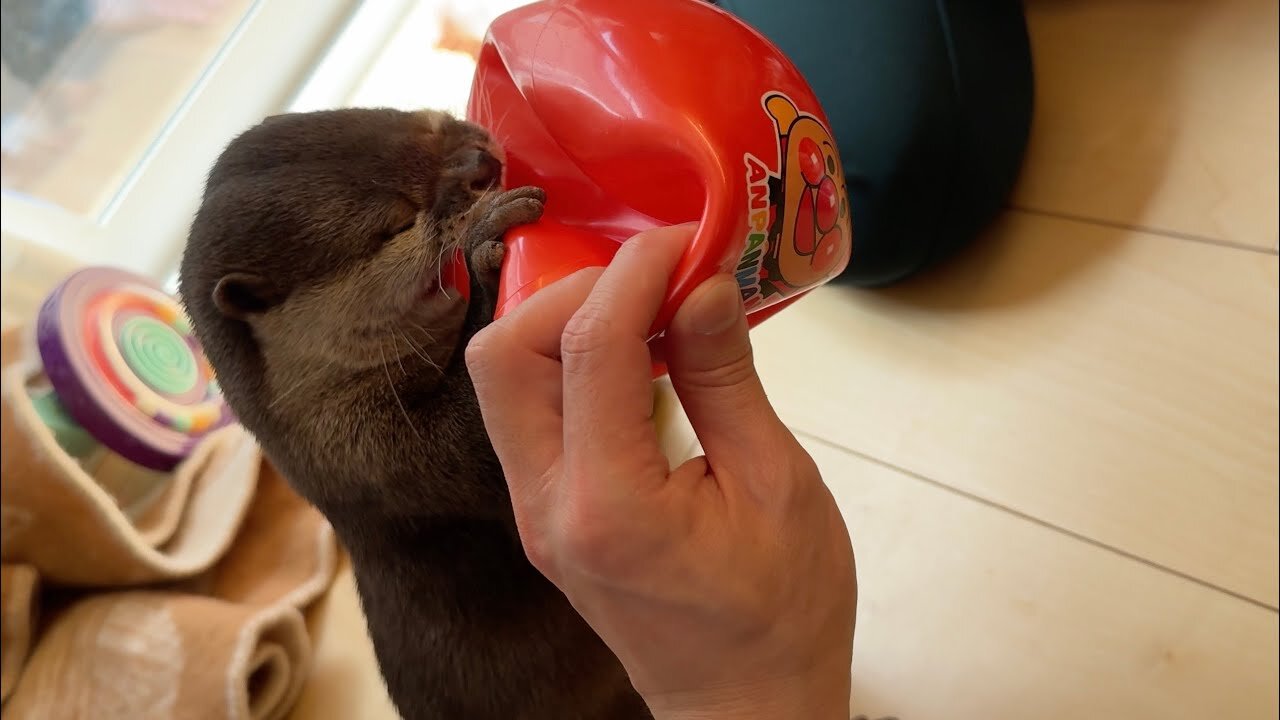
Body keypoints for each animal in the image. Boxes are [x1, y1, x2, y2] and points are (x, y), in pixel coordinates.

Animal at [177, 107, 650, 717]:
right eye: (396, 226)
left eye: (420, 122)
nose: (481, 162)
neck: (325, 394)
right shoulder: (365, 455)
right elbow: (476, 447)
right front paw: (483, 242)